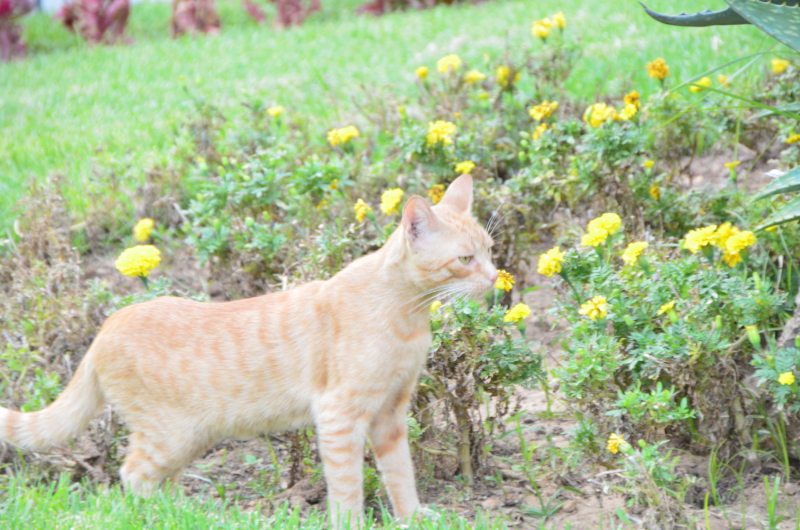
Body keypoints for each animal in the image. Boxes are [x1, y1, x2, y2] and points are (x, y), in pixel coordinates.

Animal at [0, 174, 496, 524]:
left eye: (490, 250)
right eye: (465, 259)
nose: (495, 278)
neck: (407, 316)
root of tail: (109, 324)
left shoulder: (391, 414)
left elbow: (401, 475)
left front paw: (413, 517)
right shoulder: (340, 415)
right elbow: (347, 487)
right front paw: (352, 523)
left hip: (186, 440)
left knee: (163, 481)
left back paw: (186, 513)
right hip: (170, 435)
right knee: (133, 475)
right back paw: (162, 518)